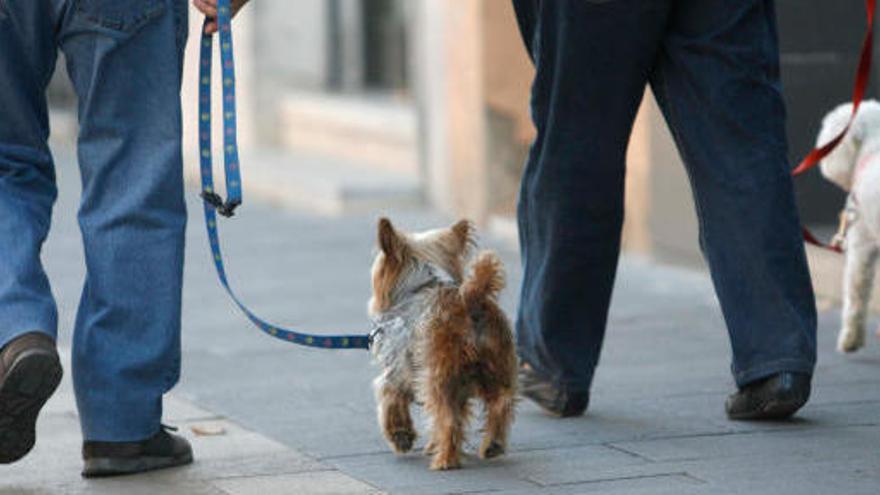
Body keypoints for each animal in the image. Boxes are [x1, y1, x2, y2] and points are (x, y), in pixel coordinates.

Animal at [366, 219, 516, 470]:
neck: (420, 286)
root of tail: (471, 299)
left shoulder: (397, 370)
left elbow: (390, 397)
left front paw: (401, 436)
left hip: (438, 377)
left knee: (448, 419)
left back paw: (445, 461)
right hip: (498, 366)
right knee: (501, 402)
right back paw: (492, 445)